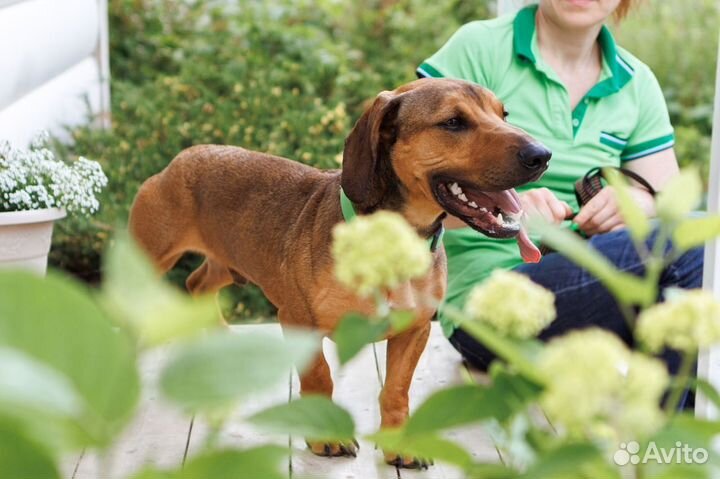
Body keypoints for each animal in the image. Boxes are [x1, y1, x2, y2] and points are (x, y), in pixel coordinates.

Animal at [129, 79, 548, 468]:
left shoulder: (415, 329)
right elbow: (320, 377)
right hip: (149, 259)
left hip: (228, 265)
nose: (542, 155)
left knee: (196, 283)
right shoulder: (298, 321)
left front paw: (399, 445)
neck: (390, 245)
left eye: (503, 114)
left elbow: (396, 391)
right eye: (453, 122)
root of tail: (186, 155)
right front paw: (325, 437)